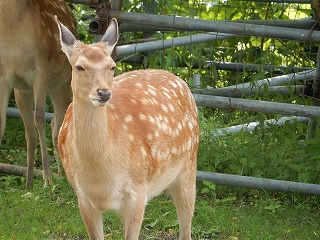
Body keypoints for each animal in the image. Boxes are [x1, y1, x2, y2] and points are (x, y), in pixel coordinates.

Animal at [0, 0, 77, 189]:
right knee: (33, 132)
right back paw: (29, 183)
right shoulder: (5, 78)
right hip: (22, 92)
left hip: (62, 81)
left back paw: (62, 176)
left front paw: (47, 179)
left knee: (57, 124)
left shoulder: (41, 68)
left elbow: (40, 118)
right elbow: (2, 124)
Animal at [56, 17, 199, 240]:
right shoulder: (82, 196)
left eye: (112, 66)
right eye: (79, 67)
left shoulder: (138, 192)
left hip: (189, 167)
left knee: (186, 228)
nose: (104, 93)